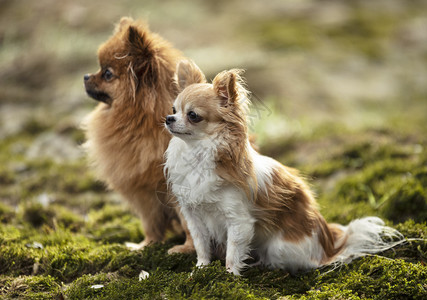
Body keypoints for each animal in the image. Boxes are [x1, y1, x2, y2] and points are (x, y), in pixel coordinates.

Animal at [81, 18, 194, 253]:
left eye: (107, 73)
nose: (86, 76)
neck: (138, 122)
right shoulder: (144, 193)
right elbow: (150, 222)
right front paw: (146, 245)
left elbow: (189, 223)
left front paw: (187, 248)